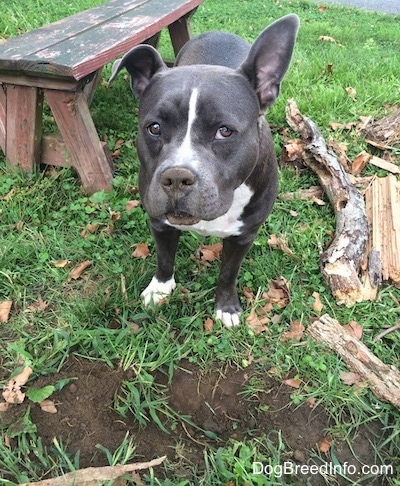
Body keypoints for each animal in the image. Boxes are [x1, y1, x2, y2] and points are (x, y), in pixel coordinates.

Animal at [111, 14, 298, 326]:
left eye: (224, 131)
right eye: (154, 128)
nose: (176, 177)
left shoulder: (243, 236)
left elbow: (228, 273)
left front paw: (226, 307)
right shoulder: (159, 223)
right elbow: (164, 259)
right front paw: (160, 289)